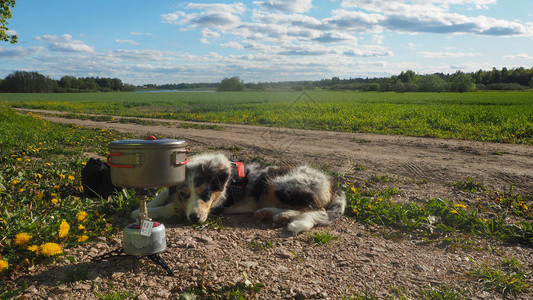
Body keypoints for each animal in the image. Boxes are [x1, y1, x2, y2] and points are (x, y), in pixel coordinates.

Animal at [129, 154, 344, 236]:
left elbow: (171, 206)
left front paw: (141, 213)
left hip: (282, 184)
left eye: (206, 193)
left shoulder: (214, 207)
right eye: (184, 194)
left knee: (316, 209)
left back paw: (284, 216)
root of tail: (332, 182)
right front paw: (147, 205)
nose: (195, 219)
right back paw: (269, 212)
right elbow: (164, 193)